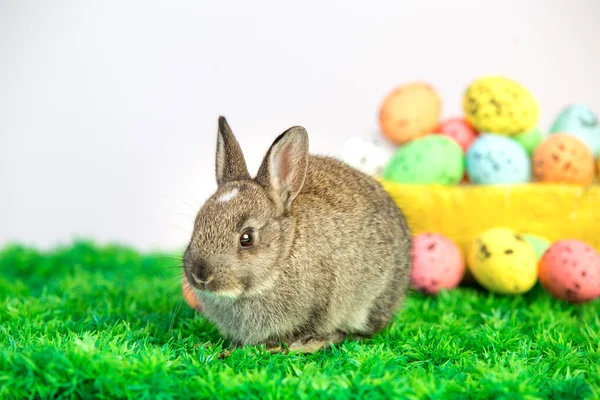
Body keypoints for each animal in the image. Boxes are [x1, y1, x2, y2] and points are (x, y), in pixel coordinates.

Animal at [183, 116, 412, 354]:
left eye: (247, 238)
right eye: (197, 224)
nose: (200, 276)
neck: (283, 254)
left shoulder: (321, 305)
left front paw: (290, 346)